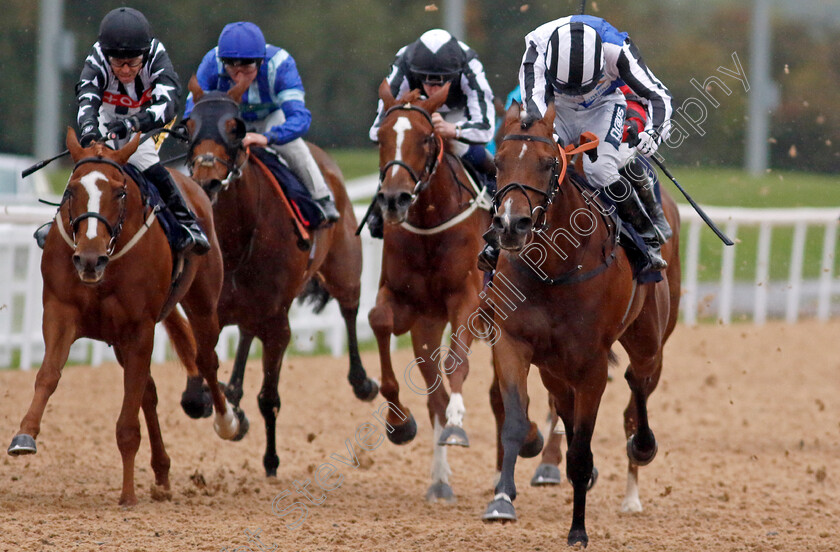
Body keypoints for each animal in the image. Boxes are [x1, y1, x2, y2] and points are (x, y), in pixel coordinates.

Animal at [7, 129, 243, 504]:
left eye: (119, 192)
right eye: (70, 190)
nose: (89, 259)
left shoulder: (140, 327)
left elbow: (128, 420)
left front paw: (128, 494)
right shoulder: (60, 312)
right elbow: (48, 375)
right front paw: (24, 435)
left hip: (203, 303)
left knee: (205, 360)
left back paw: (226, 422)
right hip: (120, 340)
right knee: (149, 390)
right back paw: (162, 472)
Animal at [187, 75, 380, 476]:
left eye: (235, 127)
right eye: (188, 125)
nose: (207, 180)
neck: (236, 240)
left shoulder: (278, 321)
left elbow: (269, 398)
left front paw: (271, 461)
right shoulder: (209, 311)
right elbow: (196, 395)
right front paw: (226, 406)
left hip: (344, 267)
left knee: (350, 309)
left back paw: (363, 382)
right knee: (246, 332)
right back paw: (233, 391)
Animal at [370, 81, 492, 500]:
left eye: (425, 138)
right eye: (382, 137)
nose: (394, 199)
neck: (428, 226)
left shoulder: (467, 298)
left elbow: (457, 363)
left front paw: (457, 425)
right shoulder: (409, 305)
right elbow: (378, 320)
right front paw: (398, 423)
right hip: (428, 327)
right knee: (434, 392)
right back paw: (439, 481)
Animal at [482, 101, 680, 544]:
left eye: (546, 163)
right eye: (497, 163)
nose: (510, 225)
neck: (554, 269)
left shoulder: (591, 364)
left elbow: (581, 451)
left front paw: (578, 530)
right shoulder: (513, 343)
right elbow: (516, 422)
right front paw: (501, 501)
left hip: (649, 339)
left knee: (638, 384)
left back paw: (641, 448)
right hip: (554, 367)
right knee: (566, 405)